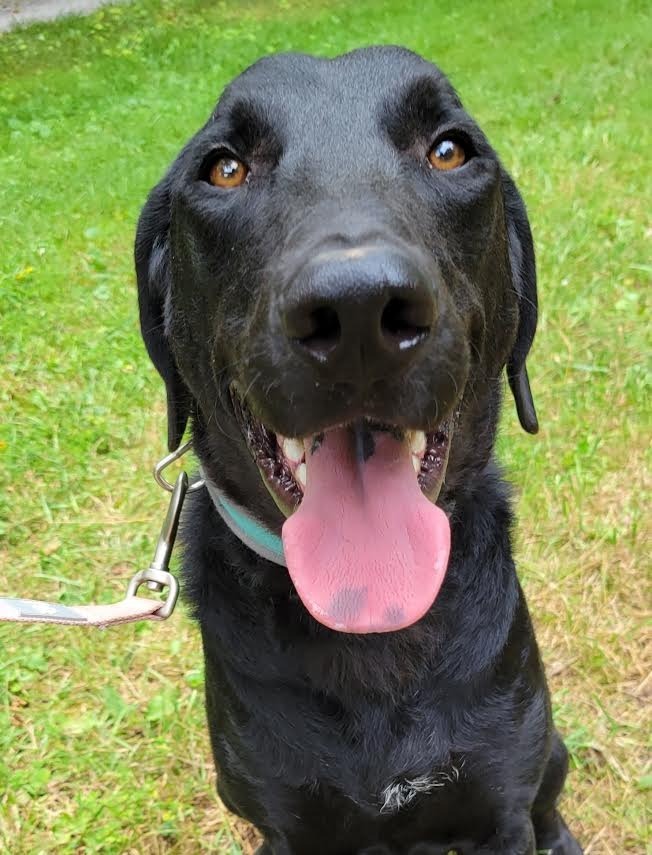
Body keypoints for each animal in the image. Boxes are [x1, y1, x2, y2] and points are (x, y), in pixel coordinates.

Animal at [134, 46, 580, 855]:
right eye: (225, 168)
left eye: (449, 150)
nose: (358, 310)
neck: (373, 633)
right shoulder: (286, 823)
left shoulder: (500, 803)